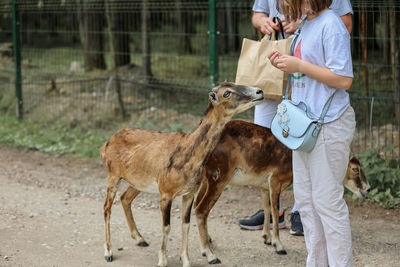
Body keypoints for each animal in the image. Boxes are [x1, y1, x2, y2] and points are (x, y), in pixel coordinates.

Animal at [99, 83, 262, 267]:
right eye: (227, 93)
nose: (259, 91)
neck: (190, 157)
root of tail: (105, 146)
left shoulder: (189, 192)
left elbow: (186, 224)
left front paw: (186, 260)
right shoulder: (166, 192)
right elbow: (166, 226)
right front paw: (162, 260)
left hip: (139, 181)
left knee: (125, 198)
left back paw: (140, 239)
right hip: (113, 174)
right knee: (106, 208)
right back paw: (108, 252)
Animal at [192, 121, 370, 266]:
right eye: (355, 169)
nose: (367, 189)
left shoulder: (264, 186)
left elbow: (267, 208)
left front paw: (266, 238)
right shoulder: (275, 179)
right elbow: (276, 210)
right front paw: (278, 245)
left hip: (206, 179)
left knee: (197, 206)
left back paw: (209, 241)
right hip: (218, 178)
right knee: (201, 209)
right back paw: (210, 255)